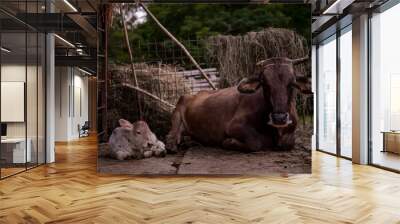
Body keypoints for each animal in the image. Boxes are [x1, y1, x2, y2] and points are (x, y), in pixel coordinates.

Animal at [165, 56, 310, 152]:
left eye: (292, 83)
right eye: (264, 83)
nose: (279, 118)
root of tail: (195, 93)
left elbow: (289, 143)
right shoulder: (233, 126)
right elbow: (255, 142)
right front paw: (229, 142)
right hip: (177, 112)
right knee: (172, 135)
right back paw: (173, 145)